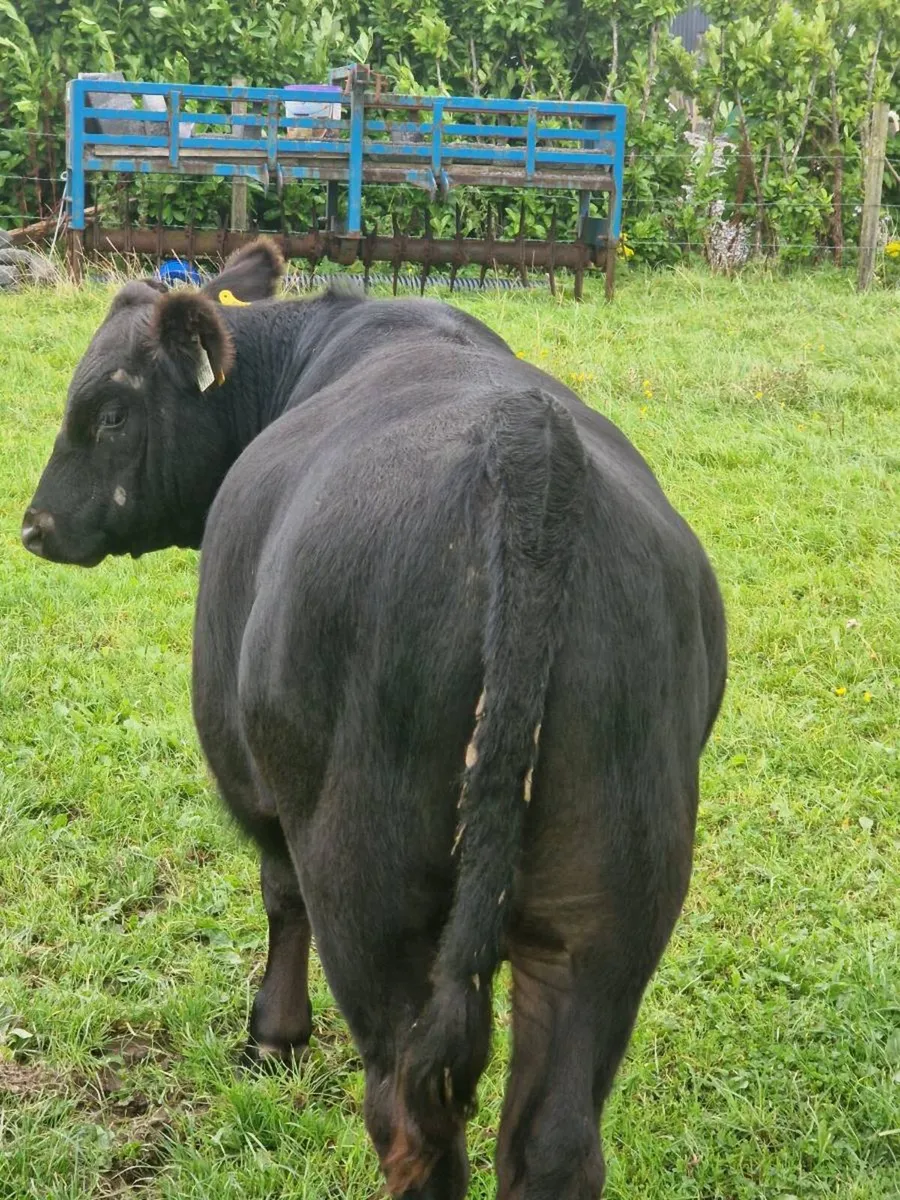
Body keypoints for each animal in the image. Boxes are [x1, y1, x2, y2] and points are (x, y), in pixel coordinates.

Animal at [23, 240, 727, 1199]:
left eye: (112, 412)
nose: (34, 525)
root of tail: (528, 451)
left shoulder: (260, 783)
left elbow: (279, 896)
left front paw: (272, 1038)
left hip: (370, 885)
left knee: (410, 1120)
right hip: (612, 900)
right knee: (554, 1140)